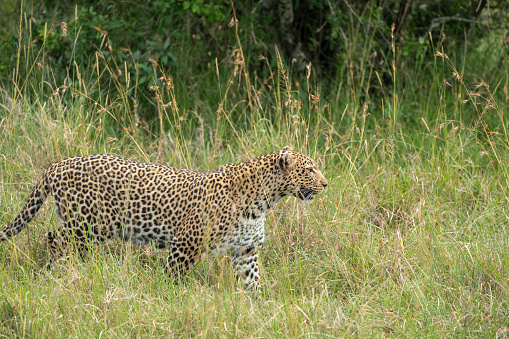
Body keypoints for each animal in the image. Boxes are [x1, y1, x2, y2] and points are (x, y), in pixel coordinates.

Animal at [0, 146, 326, 290]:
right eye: (309, 169)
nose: (325, 184)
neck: (263, 202)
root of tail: (55, 165)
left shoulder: (245, 250)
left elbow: (252, 280)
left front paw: (257, 304)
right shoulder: (185, 242)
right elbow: (173, 274)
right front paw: (169, 297)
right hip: (90, 222)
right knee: (55, 238)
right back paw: (59, 272)